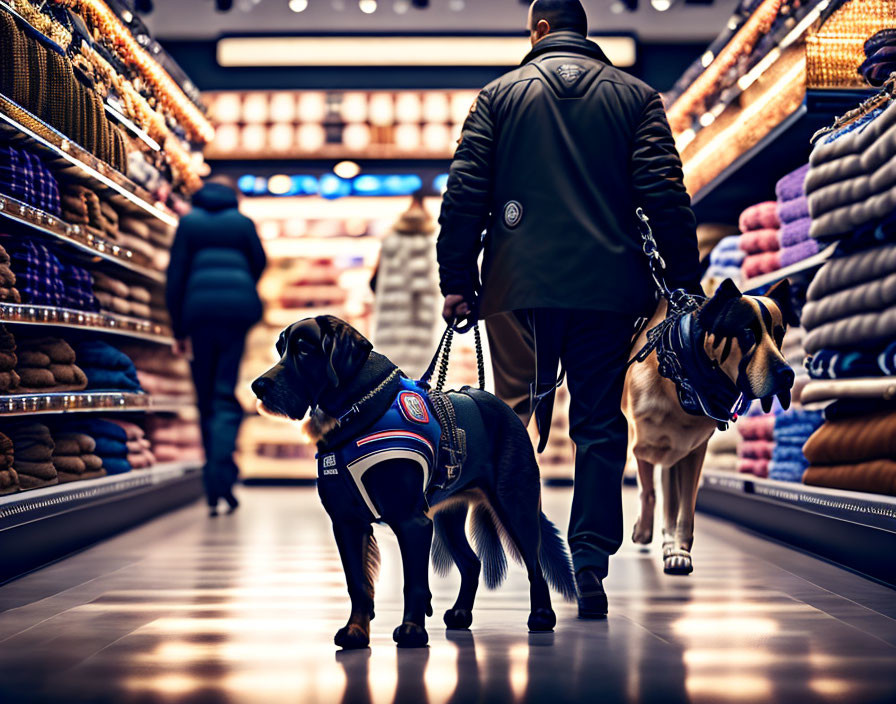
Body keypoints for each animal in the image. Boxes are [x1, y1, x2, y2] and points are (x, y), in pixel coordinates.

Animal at [252, 316, 576, 652]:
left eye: (304, 350)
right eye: (280, 349)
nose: (257, 386)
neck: (356, 411)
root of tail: (498, 404)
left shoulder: (412, 521)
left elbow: (415, 583)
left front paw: (412, 631)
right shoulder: (347, 523)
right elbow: (358, 583)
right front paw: (355, 633)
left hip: (514, 502)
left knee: (534, 563)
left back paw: (542, 616)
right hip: (448, 516)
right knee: (472, 563)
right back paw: (461, 613)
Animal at [624, 278, 800, 576]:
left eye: (780, 335)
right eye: (747, 333)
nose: (788, 375)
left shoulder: (692, 452)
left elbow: (684, 509)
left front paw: (678, 549)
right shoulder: (643, 445)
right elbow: (648, 490)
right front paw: (645, 531)